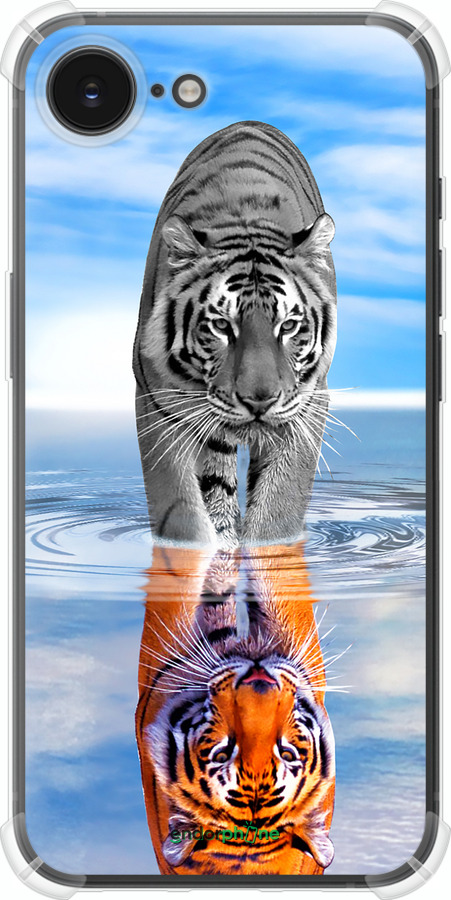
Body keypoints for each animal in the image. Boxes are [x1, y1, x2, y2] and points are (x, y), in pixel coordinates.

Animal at [133, 121, 337, 548]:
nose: (259, 401)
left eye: (288, 326)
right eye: (221, 325)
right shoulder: (157, 401)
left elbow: (279, 508)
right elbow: (181, 511)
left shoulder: (308, 404)